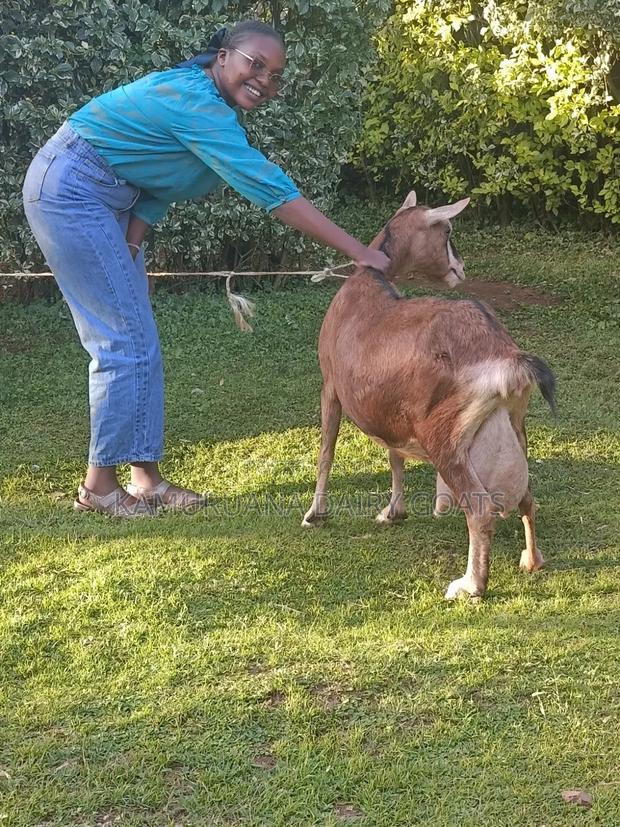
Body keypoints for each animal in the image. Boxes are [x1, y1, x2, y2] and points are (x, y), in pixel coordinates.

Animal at [302, 191, 556, 599]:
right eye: (447, 231)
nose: (461, 267)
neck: (367, 284)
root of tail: (505, 355)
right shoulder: (391, 406)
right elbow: (394, 455)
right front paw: (393, 511)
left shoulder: (330, 387)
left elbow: (326, 451)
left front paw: (315, 514)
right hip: (515, 424)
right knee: (528, 495)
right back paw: (531, 560)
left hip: (445, 436)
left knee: (480, 509)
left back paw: (470, 585)